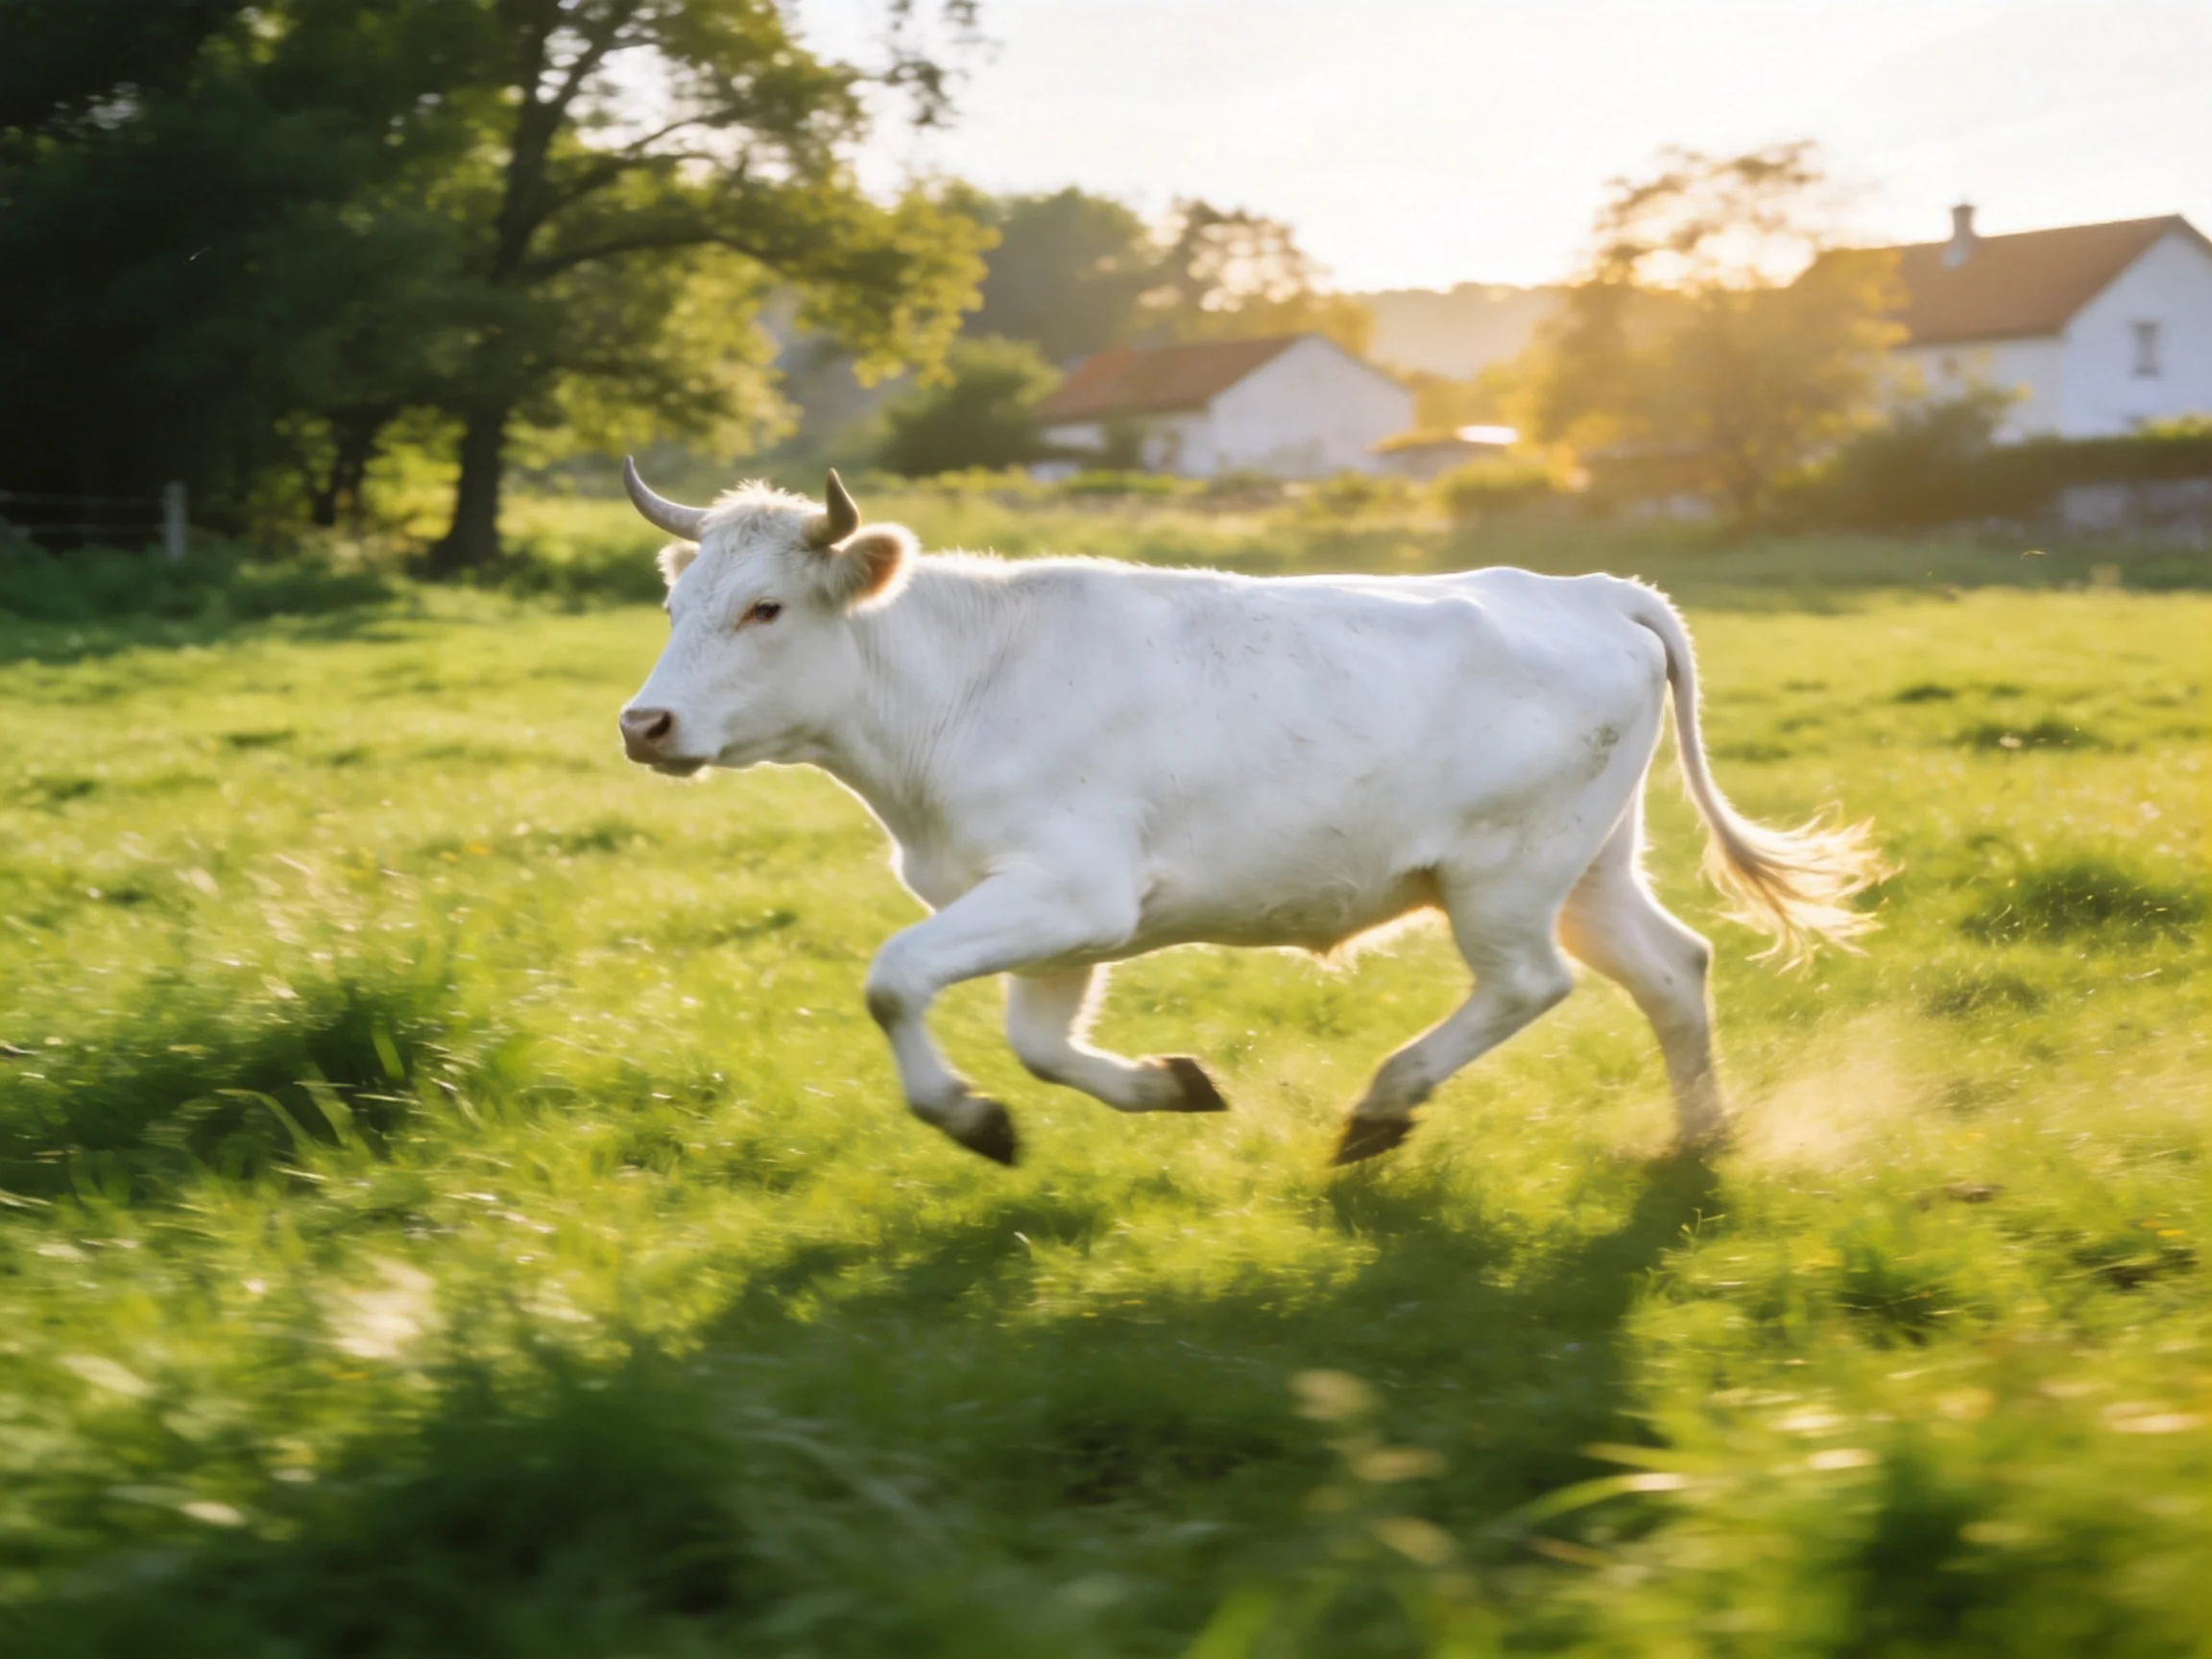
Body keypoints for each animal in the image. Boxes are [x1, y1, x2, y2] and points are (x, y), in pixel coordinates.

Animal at [617, 464, 1883, 1167]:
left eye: (765, 608)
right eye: (675, 605)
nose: (645, 723)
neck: (959, 687)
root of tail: (1594, 591)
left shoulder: (1067, 890)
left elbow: (893, 979)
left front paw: (965, 1118)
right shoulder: (1059, 918)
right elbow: (1041, 1044)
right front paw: (1164, 1086)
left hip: (1505, 877)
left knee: (1531, 985)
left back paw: (1383, 1107)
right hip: (1592, 868)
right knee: (1672, 968)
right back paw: (1702, 1140)